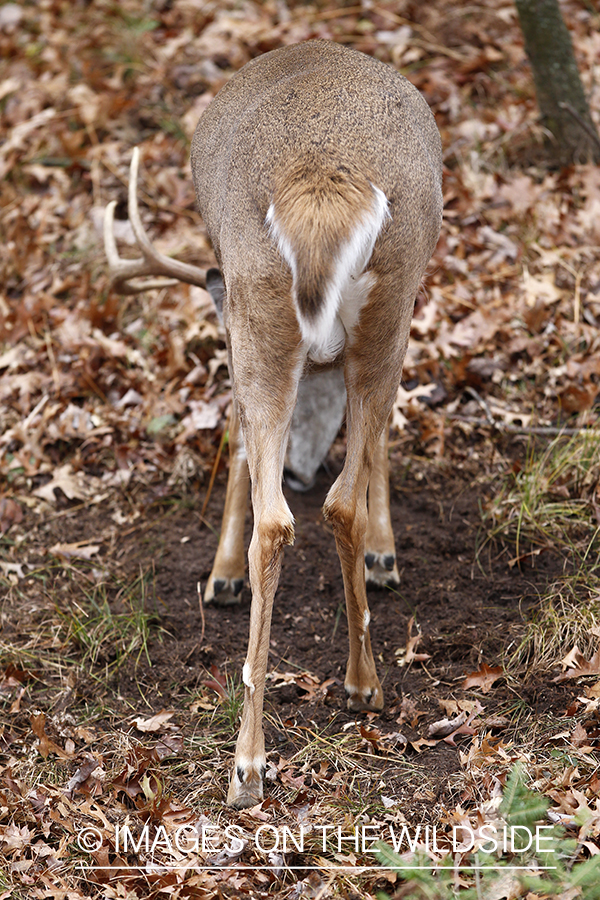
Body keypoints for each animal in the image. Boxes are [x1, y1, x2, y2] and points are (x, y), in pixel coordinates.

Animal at [103, 40, 442, 808]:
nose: (300, 460)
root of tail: (318, 183)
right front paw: (383, 556)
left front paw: (222, 574)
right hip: (383, 298)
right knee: (326, 502)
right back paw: (354, 689)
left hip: (263, 302)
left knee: (289, 513)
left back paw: (251, 762)